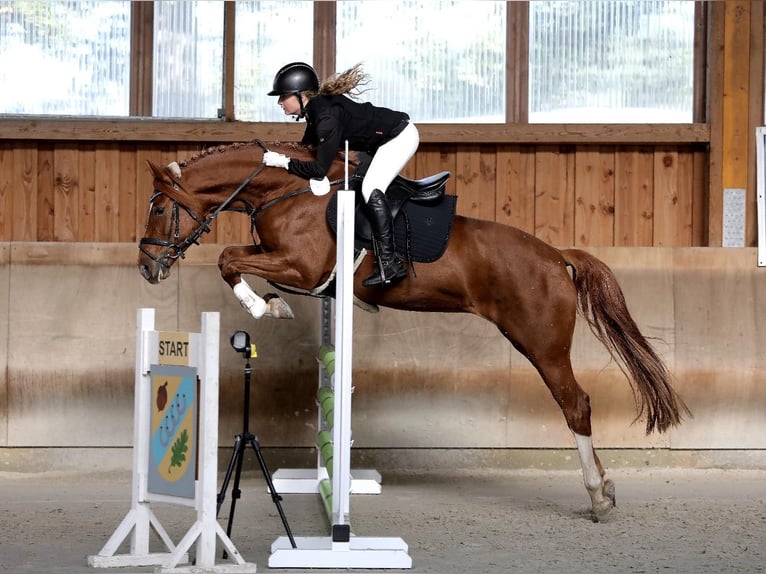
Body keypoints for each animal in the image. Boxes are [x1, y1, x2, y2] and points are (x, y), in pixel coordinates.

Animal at [137, 139, 690, 521]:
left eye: (160, 208)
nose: (147, 269)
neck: (287, 191)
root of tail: (557, 256)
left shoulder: (303, 267)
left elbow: (229, 261)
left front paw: (268, 307)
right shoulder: (290, 264)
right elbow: (234, 257)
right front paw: (271, 303)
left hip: (542, 344)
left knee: (576, 405)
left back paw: (598, 496)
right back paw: (605, 488)